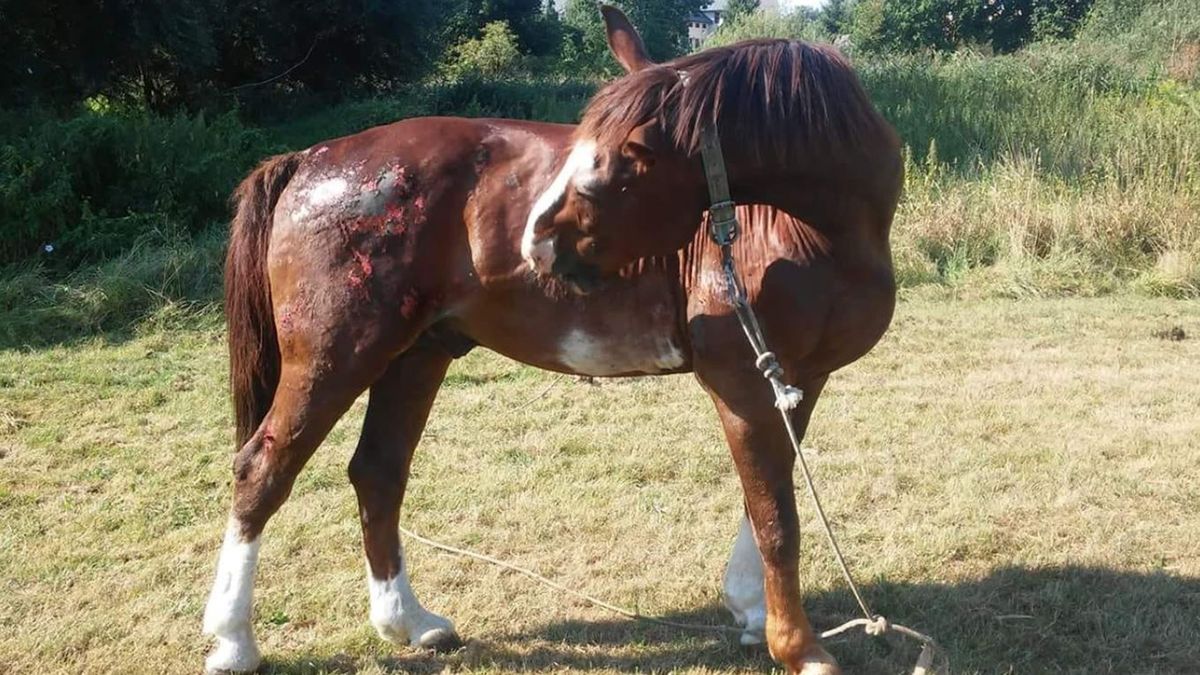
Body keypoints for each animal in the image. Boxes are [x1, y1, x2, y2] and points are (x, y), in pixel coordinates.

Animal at [204, 6, 902, 672]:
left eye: (637, 152)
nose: (536, 243)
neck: (799, 230)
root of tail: (309, 161)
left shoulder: (795, 382)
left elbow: (767, 498)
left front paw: (754, 613)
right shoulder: (743, 385)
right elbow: (777, 518)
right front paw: (800, 648)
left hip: (414, 357)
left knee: (378, 471)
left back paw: (409, 622)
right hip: (335, 357)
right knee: (262, 470)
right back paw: (234, 641)